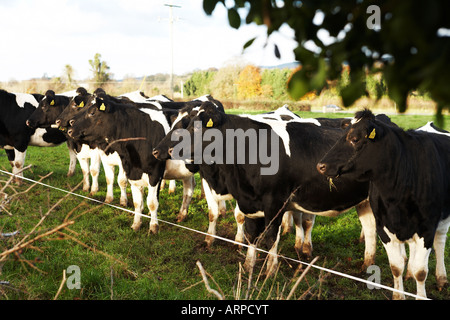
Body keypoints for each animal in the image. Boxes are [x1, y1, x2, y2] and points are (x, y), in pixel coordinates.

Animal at [153, 102, 378, 276]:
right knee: (370, 230)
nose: (167, 150)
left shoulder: (275, 202)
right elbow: (251, 234)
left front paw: (271, 270)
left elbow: (271, 237)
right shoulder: (248, 201)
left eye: (197, 128)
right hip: (364, 202)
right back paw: (366, 266)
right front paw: (248, 265)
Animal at [316, 109, 450, 298]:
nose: (321, 165)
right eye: (342, 135)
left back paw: (441, 278)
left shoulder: (427, 228)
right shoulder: (383, 227)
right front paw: (398, 295)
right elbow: (396, 266)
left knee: (440, 242)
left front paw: (421, 296)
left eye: (355, 139)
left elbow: (421, 271)